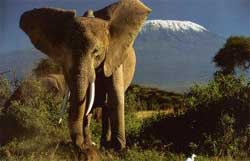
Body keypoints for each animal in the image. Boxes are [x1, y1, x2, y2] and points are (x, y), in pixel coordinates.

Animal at [19, 0, 150, 152]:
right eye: (65, 52)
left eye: (96, 51)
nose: (78, 145)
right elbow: (85, 100)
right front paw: (86, 145)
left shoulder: (114, 57)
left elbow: (115, 96)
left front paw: (118, 149)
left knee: (106, 105)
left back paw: (104, 145)